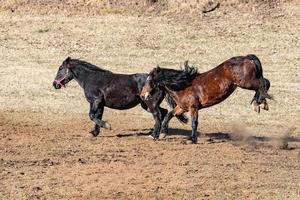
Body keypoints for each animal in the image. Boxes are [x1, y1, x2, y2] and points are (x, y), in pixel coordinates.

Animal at [52, 57, 186, 137]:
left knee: (158, 115)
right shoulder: (100, 104)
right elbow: (97, 116)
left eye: (60, 68)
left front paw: (107, 126)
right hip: (146, 105)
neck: (91, 79)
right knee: (164, 112)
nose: (54, 84)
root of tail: (158, 82)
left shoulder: (95, 101)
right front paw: (94, 133)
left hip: (150, 103)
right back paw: (161, 133)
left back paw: (154, 135)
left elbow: (92, 116)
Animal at [141, 54, 272, 143]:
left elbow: (194, 122)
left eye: (150, 80)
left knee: (264, 83)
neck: (183, 86)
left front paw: (191, 139)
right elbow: (169, 115)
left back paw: (259, 104)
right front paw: (161, 134)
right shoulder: (182, 108)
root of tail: (246, 58)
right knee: (263, 83)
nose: (142, 95)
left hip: (246, 83)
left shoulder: (193, 107)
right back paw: (260, 103)